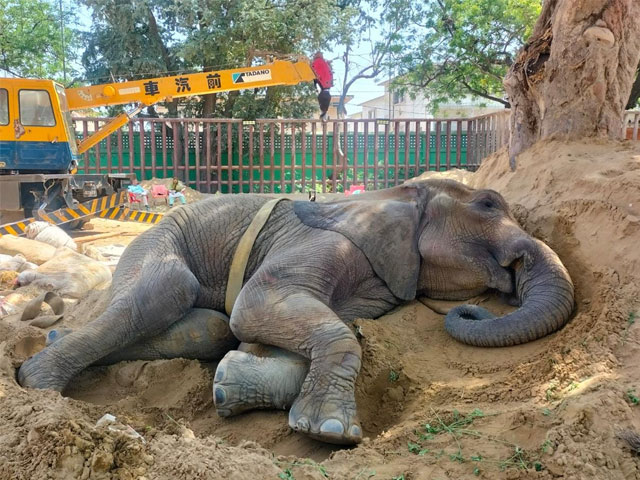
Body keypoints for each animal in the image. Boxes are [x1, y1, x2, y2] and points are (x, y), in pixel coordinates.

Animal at [16, 180, 576, 446]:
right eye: (488, 205)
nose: (474, 309)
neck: (397, 194)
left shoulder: (381, 281)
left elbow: (294, 330)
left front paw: (229, 386)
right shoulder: (325, 242)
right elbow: (259, 304)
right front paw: (329, 432)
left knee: (206, 326)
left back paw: (50, 347)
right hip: (155, 241)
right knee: (167, 291)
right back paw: (38, 382)